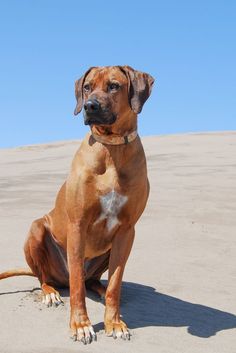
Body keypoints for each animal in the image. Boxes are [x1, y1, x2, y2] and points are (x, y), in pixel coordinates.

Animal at [0, 64, 154, 342]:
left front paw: (114, 323)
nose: (90, 106)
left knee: (91, 281)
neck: (112, 148)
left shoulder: (127, 231)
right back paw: (50, 292)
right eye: (87, 87)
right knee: (48, 278)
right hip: (37, 229)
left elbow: (115, 283)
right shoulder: (77, 225)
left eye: (114, 86)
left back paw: (100, 290)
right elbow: (76, 290)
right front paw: (81, 325)